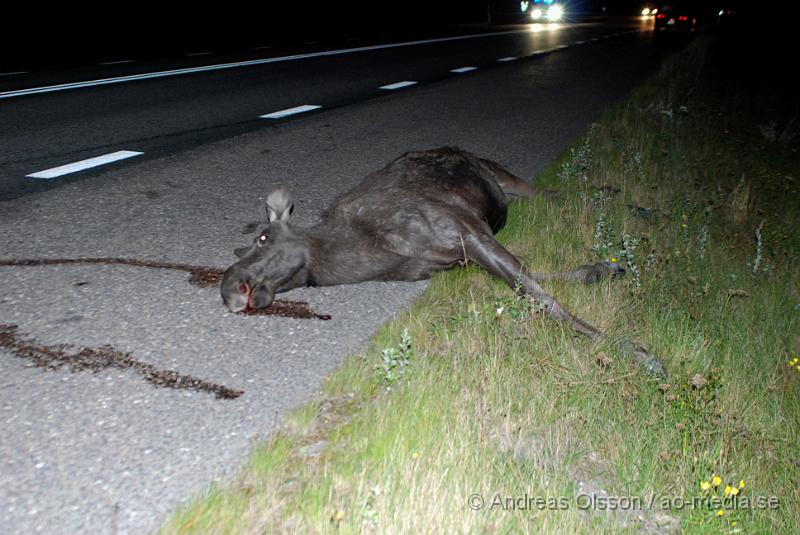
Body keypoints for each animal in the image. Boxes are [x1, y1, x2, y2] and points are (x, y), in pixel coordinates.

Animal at [222, 147, 664, 376]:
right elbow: (532, 283)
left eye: (263, 237)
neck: (370, 253)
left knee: (557, 192)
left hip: (500, 174)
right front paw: (600, 269)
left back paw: (639, 204)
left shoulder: (466, 232)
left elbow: (545, 299)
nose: (227, 286)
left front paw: (639, 354)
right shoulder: (454, 260)